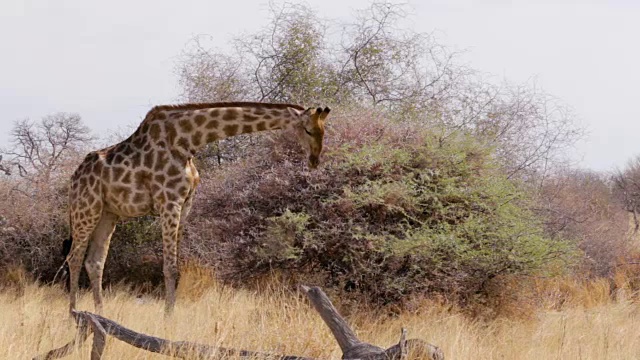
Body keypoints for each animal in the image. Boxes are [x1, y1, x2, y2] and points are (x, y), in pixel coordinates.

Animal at [67, 102, 332, 316]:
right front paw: (168, 319)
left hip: (108, 214)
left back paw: (100, 314)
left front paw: (171, 314)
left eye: (324, 131)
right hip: (86, 209)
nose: (314, 160)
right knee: (74, 258)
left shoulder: (185, 205)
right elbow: (169, 267)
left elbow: (177, 267)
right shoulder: (169, 202)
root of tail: (74, 177)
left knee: (95, 261)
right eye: (308, 130)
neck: (187, 142)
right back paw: (73, 314)